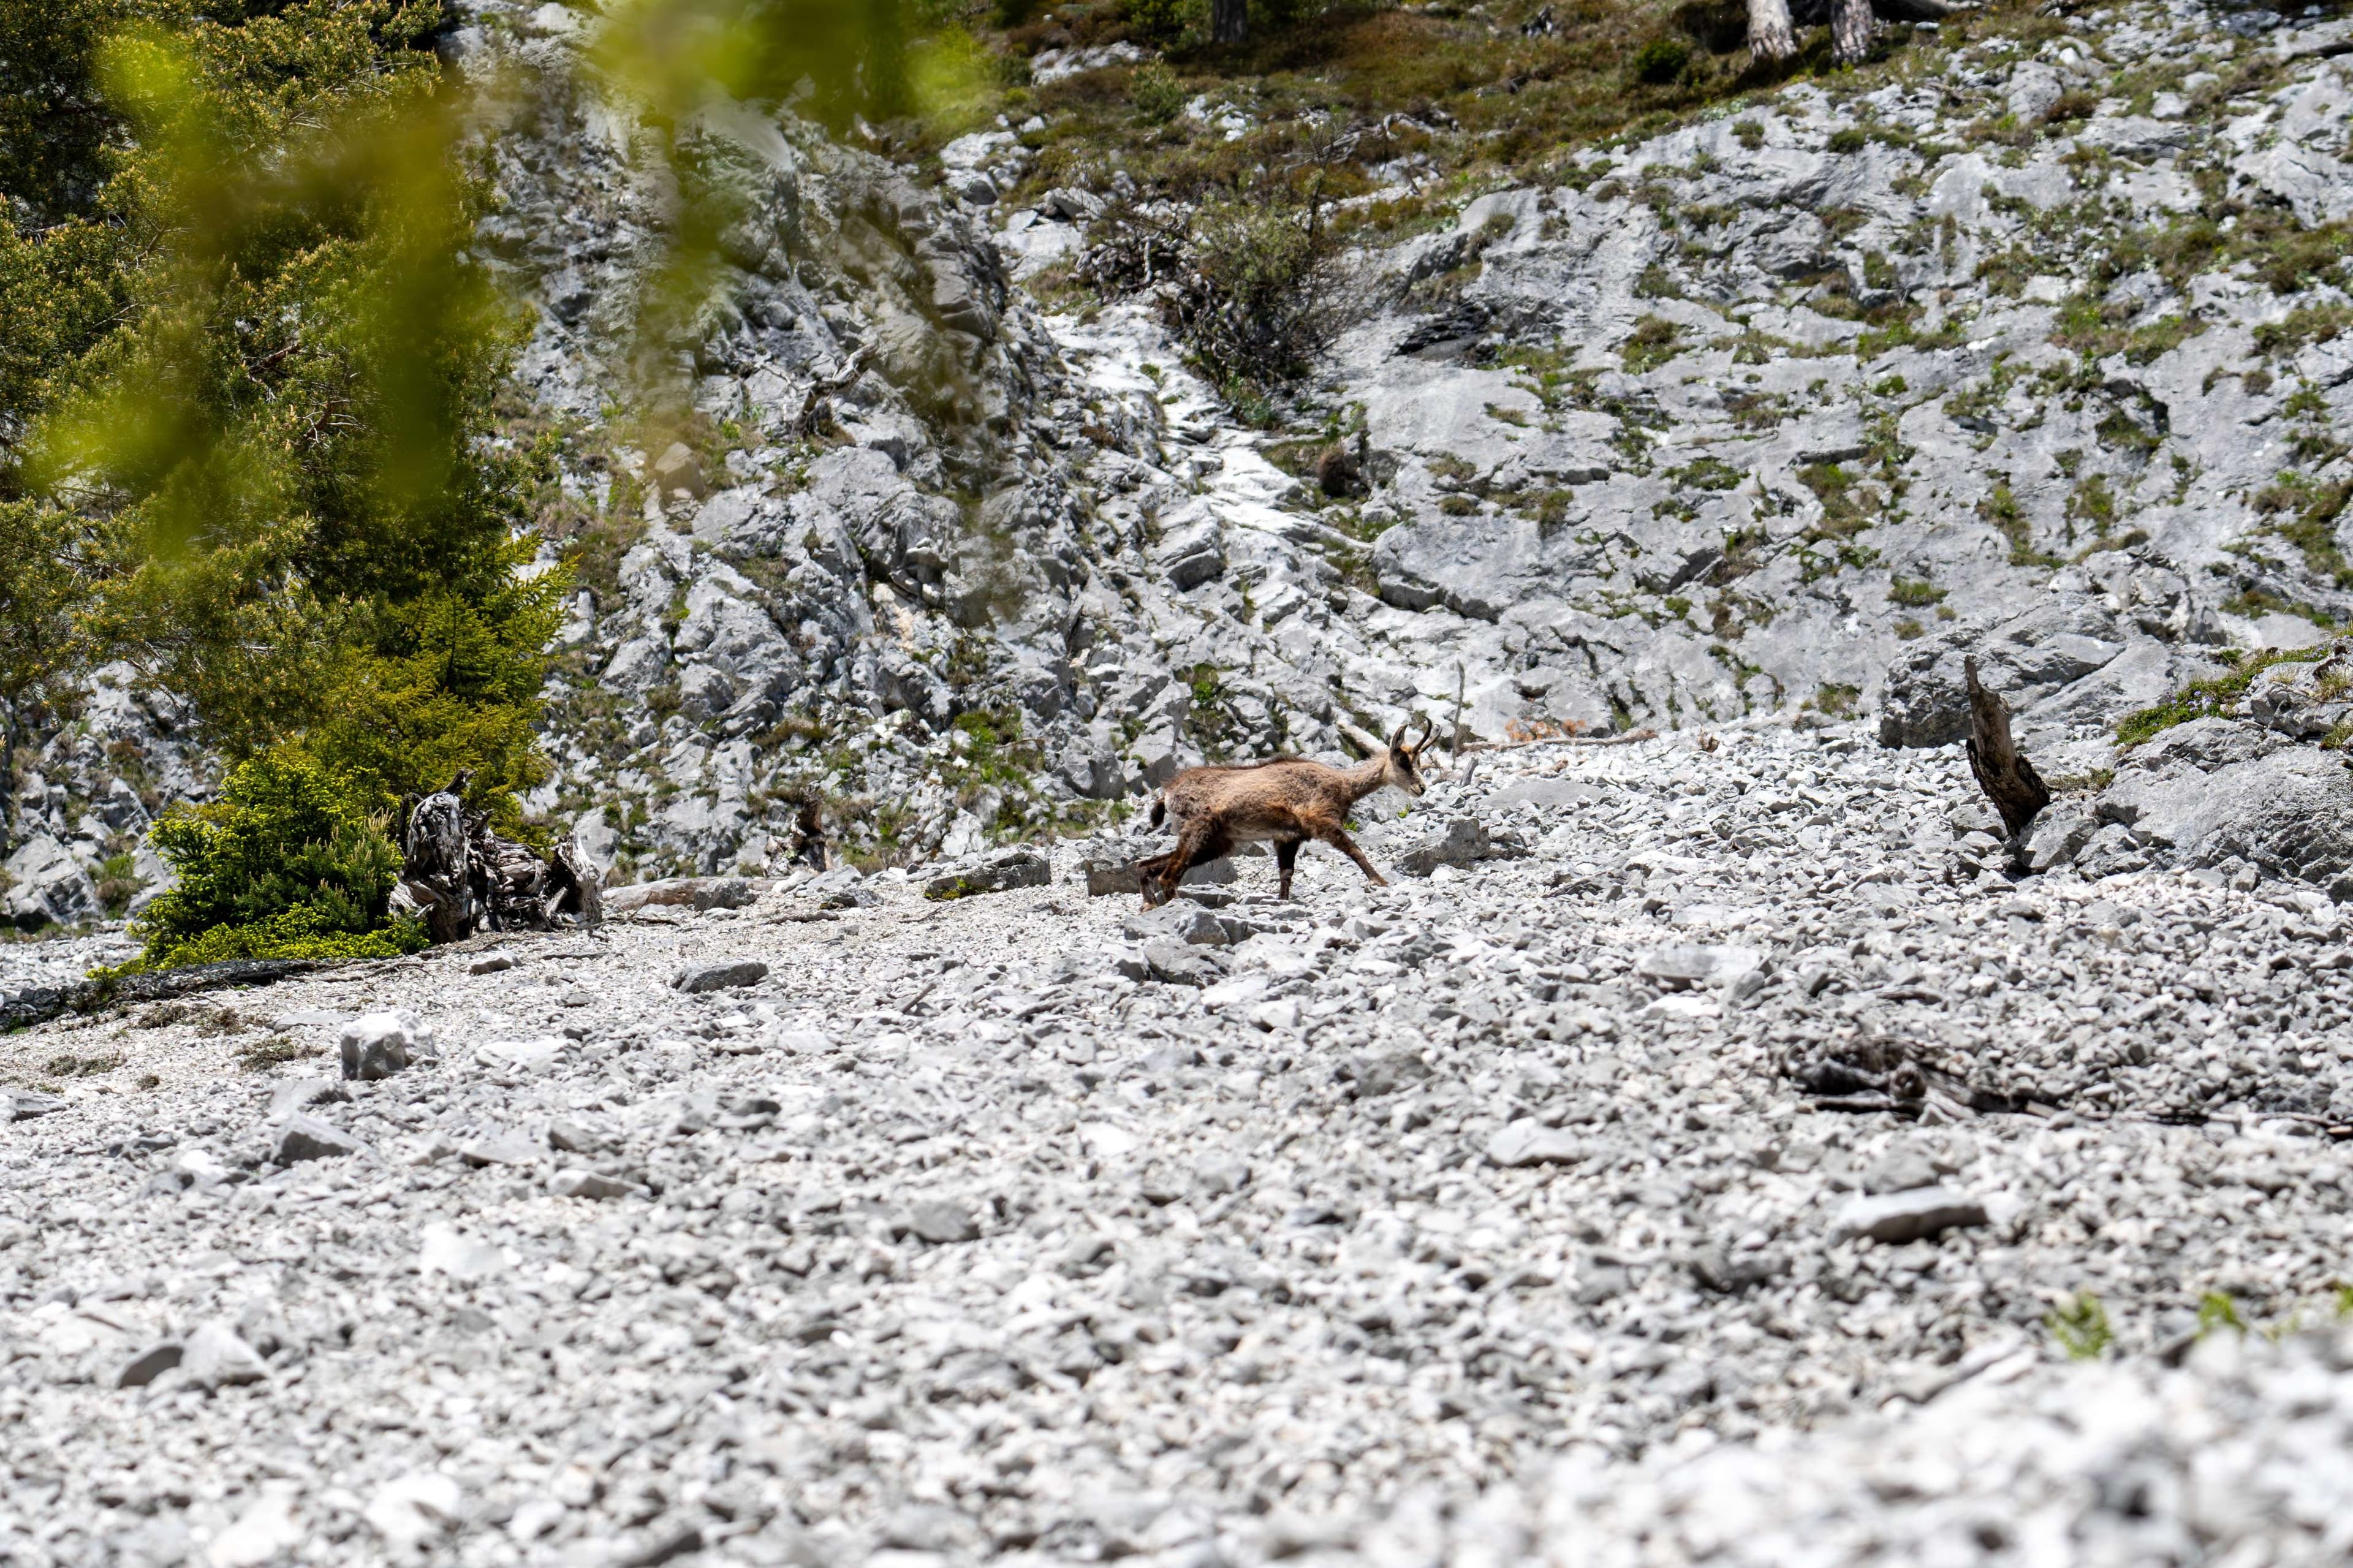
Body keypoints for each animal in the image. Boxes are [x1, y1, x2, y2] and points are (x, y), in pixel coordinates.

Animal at [1136, 717, 1433, 909]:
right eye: (1404, 760)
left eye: (1419, 761)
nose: (1422, 788)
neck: (1343, 785)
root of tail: (1168, 794)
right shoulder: (1322, 821)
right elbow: (1355, 850)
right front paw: (1379, 881)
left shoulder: (1288, 838)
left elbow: (1286, 874)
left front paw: (1282, 902)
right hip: (1199, 830)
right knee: (1169, 875)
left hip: (1216, 843)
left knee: (1146, 866)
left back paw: (1149, 905)